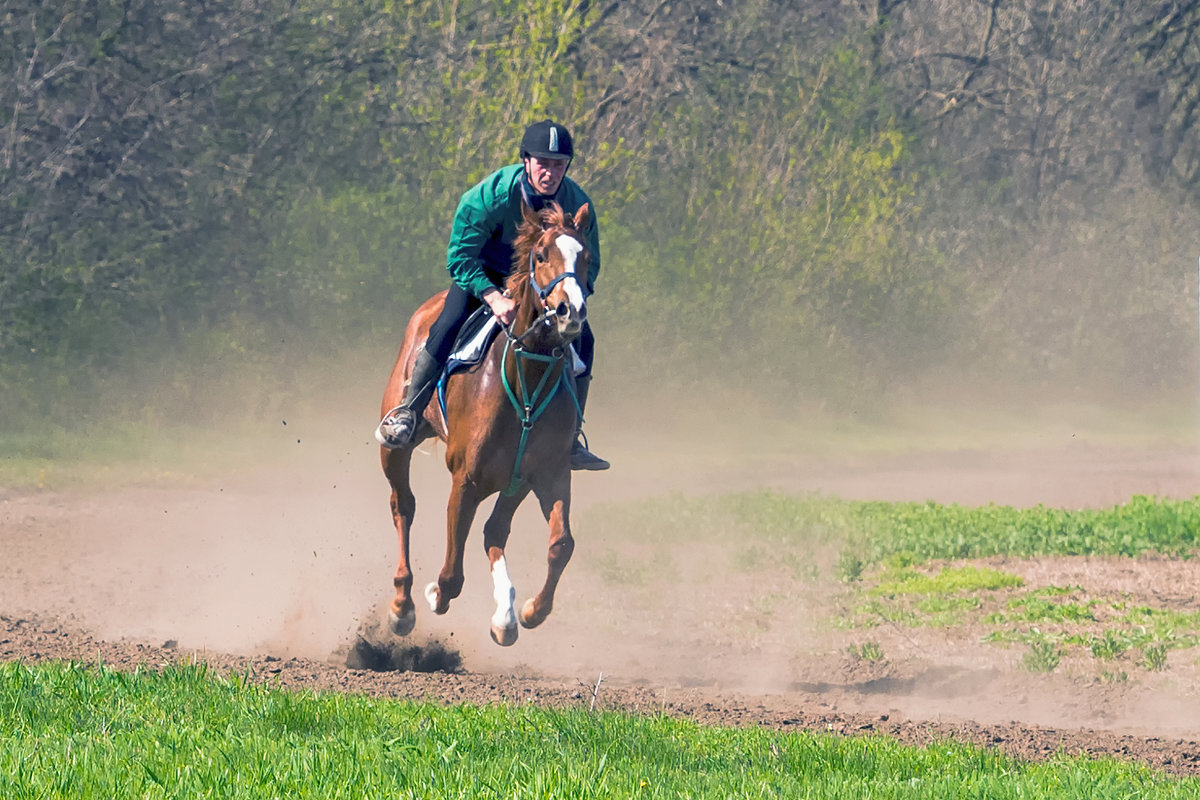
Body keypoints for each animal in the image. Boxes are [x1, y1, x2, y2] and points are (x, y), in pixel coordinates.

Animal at [379, 203, 590, 647]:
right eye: (541, 254)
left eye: (586, 257)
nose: (571, 311)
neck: (526, 378)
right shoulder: (466, 481)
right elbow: (451, 574)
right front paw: (433, 594)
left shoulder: (547, 475)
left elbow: (561, 544)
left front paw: (528, 611)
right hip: (393, 448)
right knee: (403, 505)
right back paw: (403, 605)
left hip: (514, 483)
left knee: (494, 531)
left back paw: (505, 615)